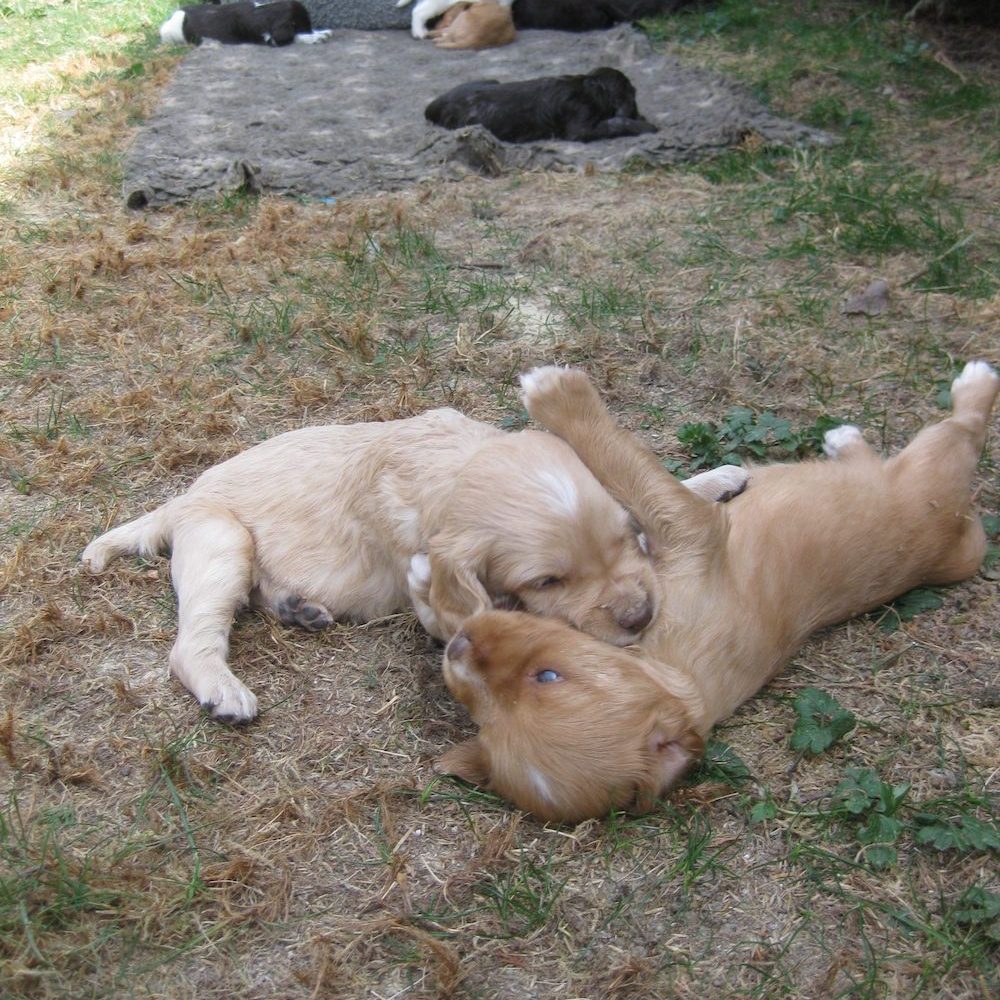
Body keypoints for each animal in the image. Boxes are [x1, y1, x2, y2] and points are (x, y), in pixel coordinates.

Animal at [84, 410, 744, 724]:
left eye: (627, 539)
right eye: (547, 582)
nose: (642, 617)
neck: (456, 463)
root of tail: (179, 500)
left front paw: (714, 479)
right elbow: (462, 613)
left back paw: (300, 608)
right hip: (222, 541)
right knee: (192, 643)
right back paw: (225, 690)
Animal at [158, 0, 332, 47]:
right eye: (302, 26)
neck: (261, 12)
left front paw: (320, 32)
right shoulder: (270, 39)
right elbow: (293, 37)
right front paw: (314, 37)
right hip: (173, 31)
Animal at [422, 66, 656, 144]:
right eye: (632, 96)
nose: (638, 113)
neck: (590, 87)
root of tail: (434, 105)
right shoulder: (580, 124)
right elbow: (616, 122)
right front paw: (645, 126)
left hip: (491, 80)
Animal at [442, 360, 996, 820]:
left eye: (548, 676)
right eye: (479, 716)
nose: (458, 644)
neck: (673, 670)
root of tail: (960, 523)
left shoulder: (692, 527)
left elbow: (631, 472)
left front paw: (557, 395)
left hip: (935, 465)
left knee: (965, 430)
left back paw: (973, 382)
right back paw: (845, 439)